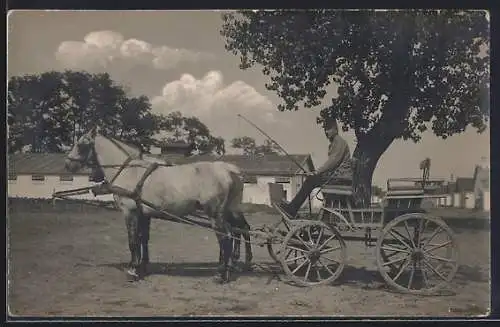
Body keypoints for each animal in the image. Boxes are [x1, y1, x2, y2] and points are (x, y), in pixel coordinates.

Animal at [66, 128, 252, 284]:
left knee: (226, 237)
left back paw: (221, 273)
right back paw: (235, 265)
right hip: (229, 211)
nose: (68, 165)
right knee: (238, 231)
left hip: (214, 213)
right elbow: (143, 239)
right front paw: (142, 267)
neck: (129, 170)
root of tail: (229, 171)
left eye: (81, 144)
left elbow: (133, 241)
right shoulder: (143, 214)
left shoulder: (130, 212)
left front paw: (133, 270)